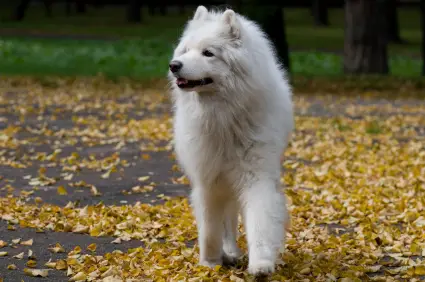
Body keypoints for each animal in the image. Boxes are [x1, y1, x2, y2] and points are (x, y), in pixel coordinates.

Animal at [167, 5, 294, 276]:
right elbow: (210, 229)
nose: (174, 65)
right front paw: (210, 261)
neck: (223, 116)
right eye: (186, 50)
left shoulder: (256, 176)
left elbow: (259, 220)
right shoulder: (209, 180)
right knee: (227, 221)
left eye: (208, 53)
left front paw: (261, 263)